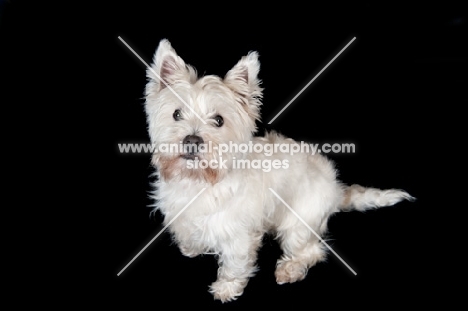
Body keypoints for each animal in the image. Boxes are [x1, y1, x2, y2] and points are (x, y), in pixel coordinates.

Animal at [144, 39, 414, 302]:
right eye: (176, 114)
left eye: (219, 120)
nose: (191, 140)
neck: (199, 180)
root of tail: (336, 190)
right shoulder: (182, 214)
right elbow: (190, 233)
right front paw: (192, 247)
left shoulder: (238, 234)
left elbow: (235, 264)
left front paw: (227, 288)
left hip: (298, 224)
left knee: (313, 251)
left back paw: (290, 269)